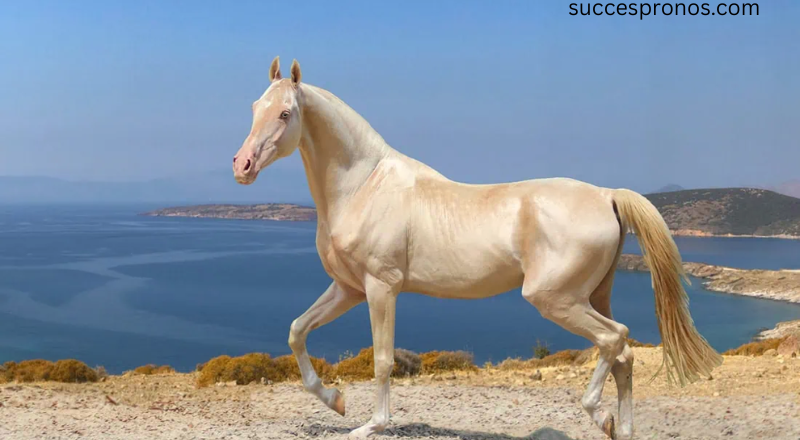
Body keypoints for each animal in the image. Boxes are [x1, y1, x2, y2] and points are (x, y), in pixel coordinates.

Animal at [231, 56, 722, 439]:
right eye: (255, 106)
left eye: (285, 114)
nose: (242, 166)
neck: (363, 186)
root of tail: (607, 195)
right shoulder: (348, 288)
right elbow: (297, 331)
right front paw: (335, 400)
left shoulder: (380, 288)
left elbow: (384, 360)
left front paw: (370, 424)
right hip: (593, 295)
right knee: (623, 355)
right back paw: (619, 427)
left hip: (556, 299)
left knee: (613, 338)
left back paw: (596, 414)